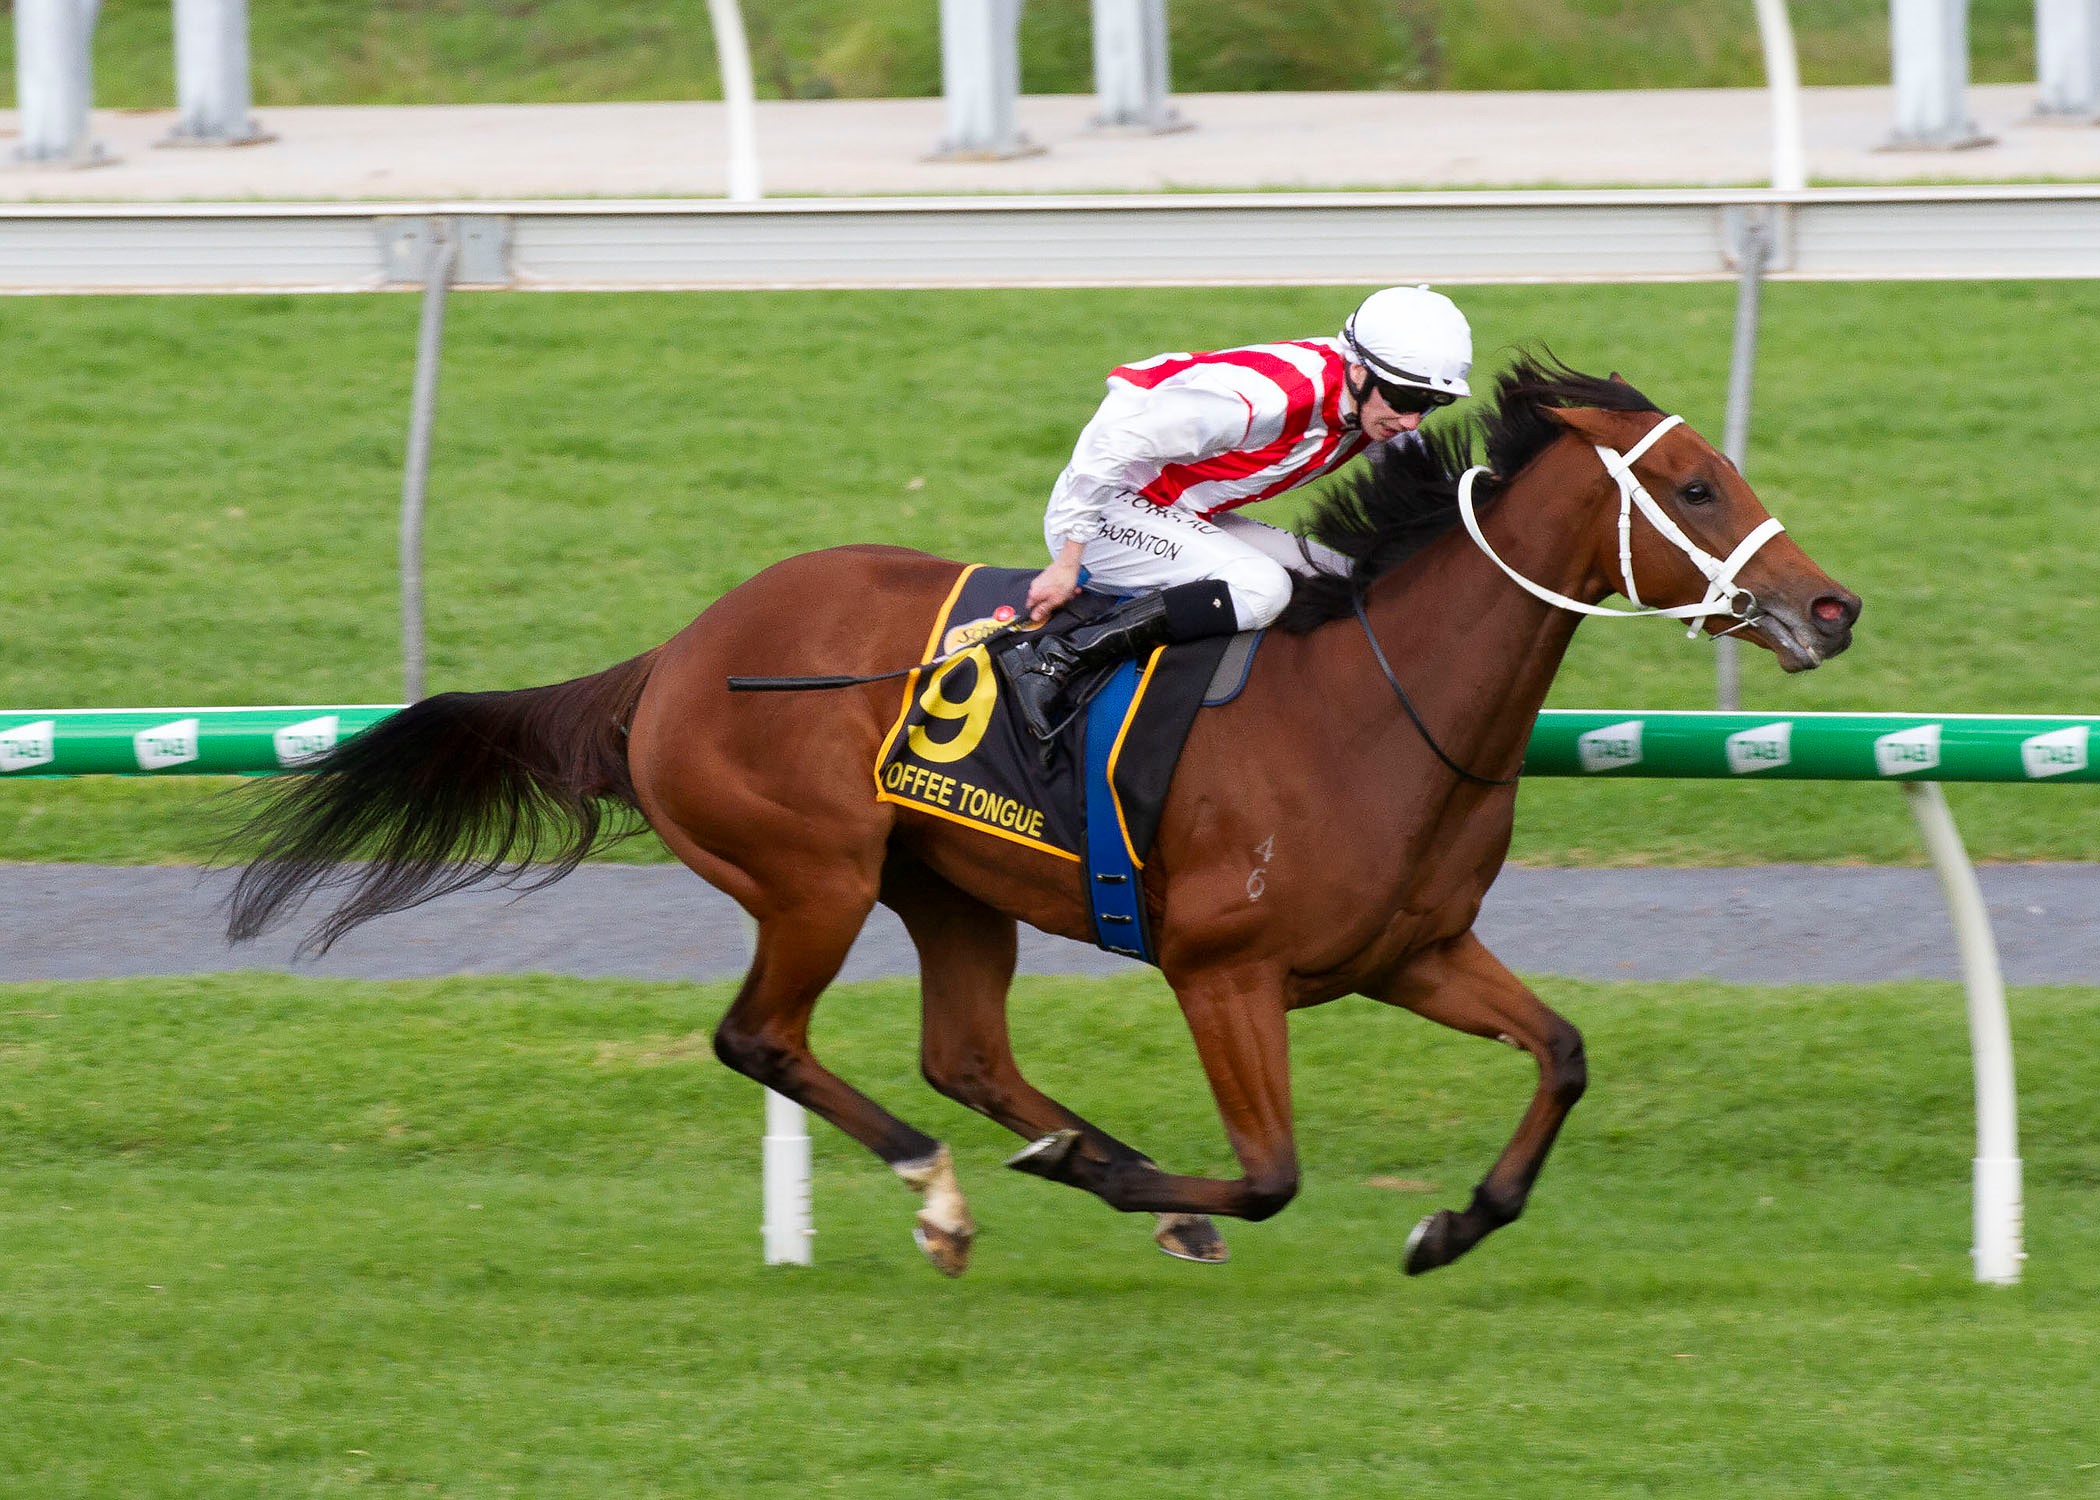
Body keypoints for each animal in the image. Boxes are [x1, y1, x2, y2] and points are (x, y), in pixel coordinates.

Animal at [225, 359, 1856, 1277]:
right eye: (1696, 486)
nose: (1831, 607)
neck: (1379, 704)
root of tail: (676, 655)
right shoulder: (1222, 969)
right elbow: (1274, 1171)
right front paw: (1136, 1178)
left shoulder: (1412, 953)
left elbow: (1563, 1055)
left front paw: (1450, 1224)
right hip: (814, 875)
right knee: (765, 1037)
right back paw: (961, 1193)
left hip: (945, 886)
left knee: (964, 1053)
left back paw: (1065, 1165)